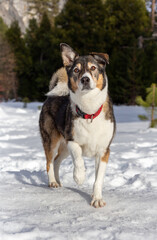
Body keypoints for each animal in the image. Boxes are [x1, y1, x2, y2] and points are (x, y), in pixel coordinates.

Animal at [39, 43, 115, 208]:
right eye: (76, 70)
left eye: (93, 68)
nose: (85, 79)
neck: (90, 112)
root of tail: (52, 96)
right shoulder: (72, 140)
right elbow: (79, 158)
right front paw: (79, 176)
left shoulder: (103, 151)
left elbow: (98, 179)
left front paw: (97, 198)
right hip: (52, 140)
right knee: (49, 162)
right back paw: (53, 182)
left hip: (64, 148)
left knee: (56, 161)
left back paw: (59, 181)